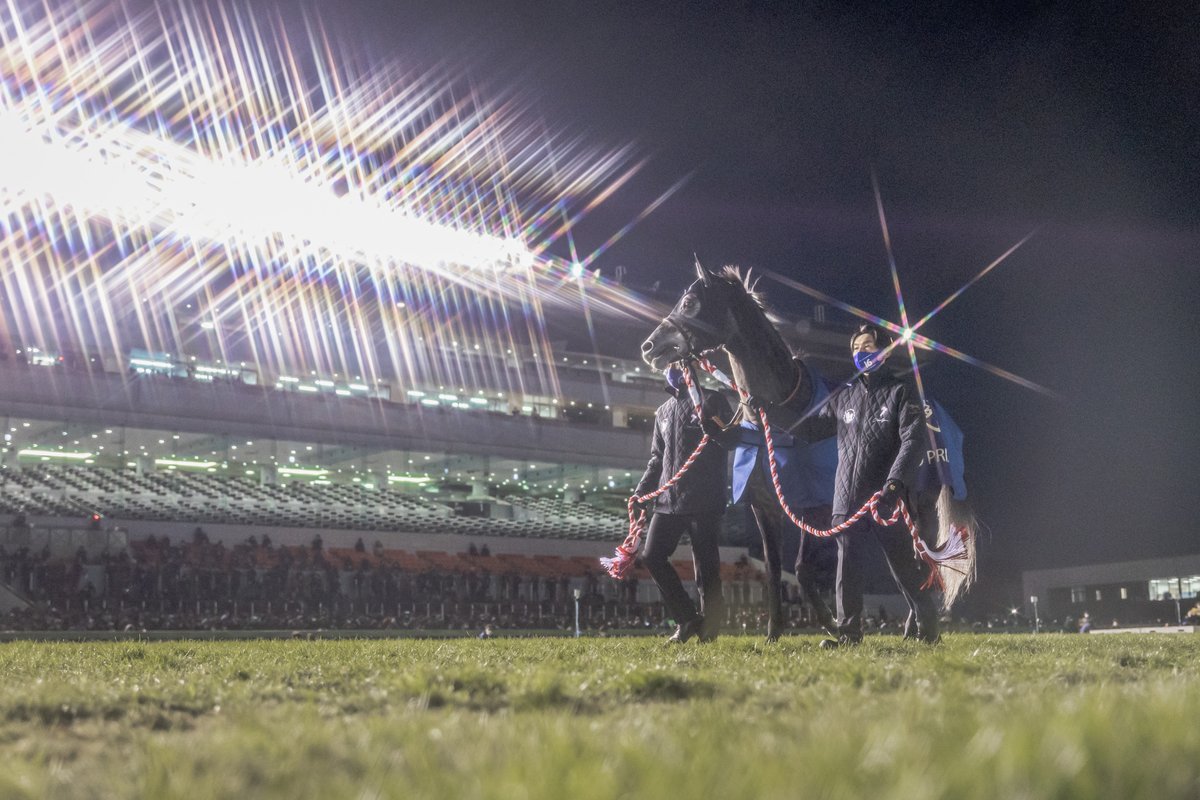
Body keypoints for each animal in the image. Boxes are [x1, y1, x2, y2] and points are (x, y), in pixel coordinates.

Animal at [640, 260, 975, 641]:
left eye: (690, 302)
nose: (649, 346)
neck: (781, 416)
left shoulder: (815, 506)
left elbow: (801, 568)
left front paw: (831, 622)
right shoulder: (765, 506)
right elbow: (773, 568)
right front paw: (774, 631)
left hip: (909, 500)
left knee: (913, 557)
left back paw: (917, 626)